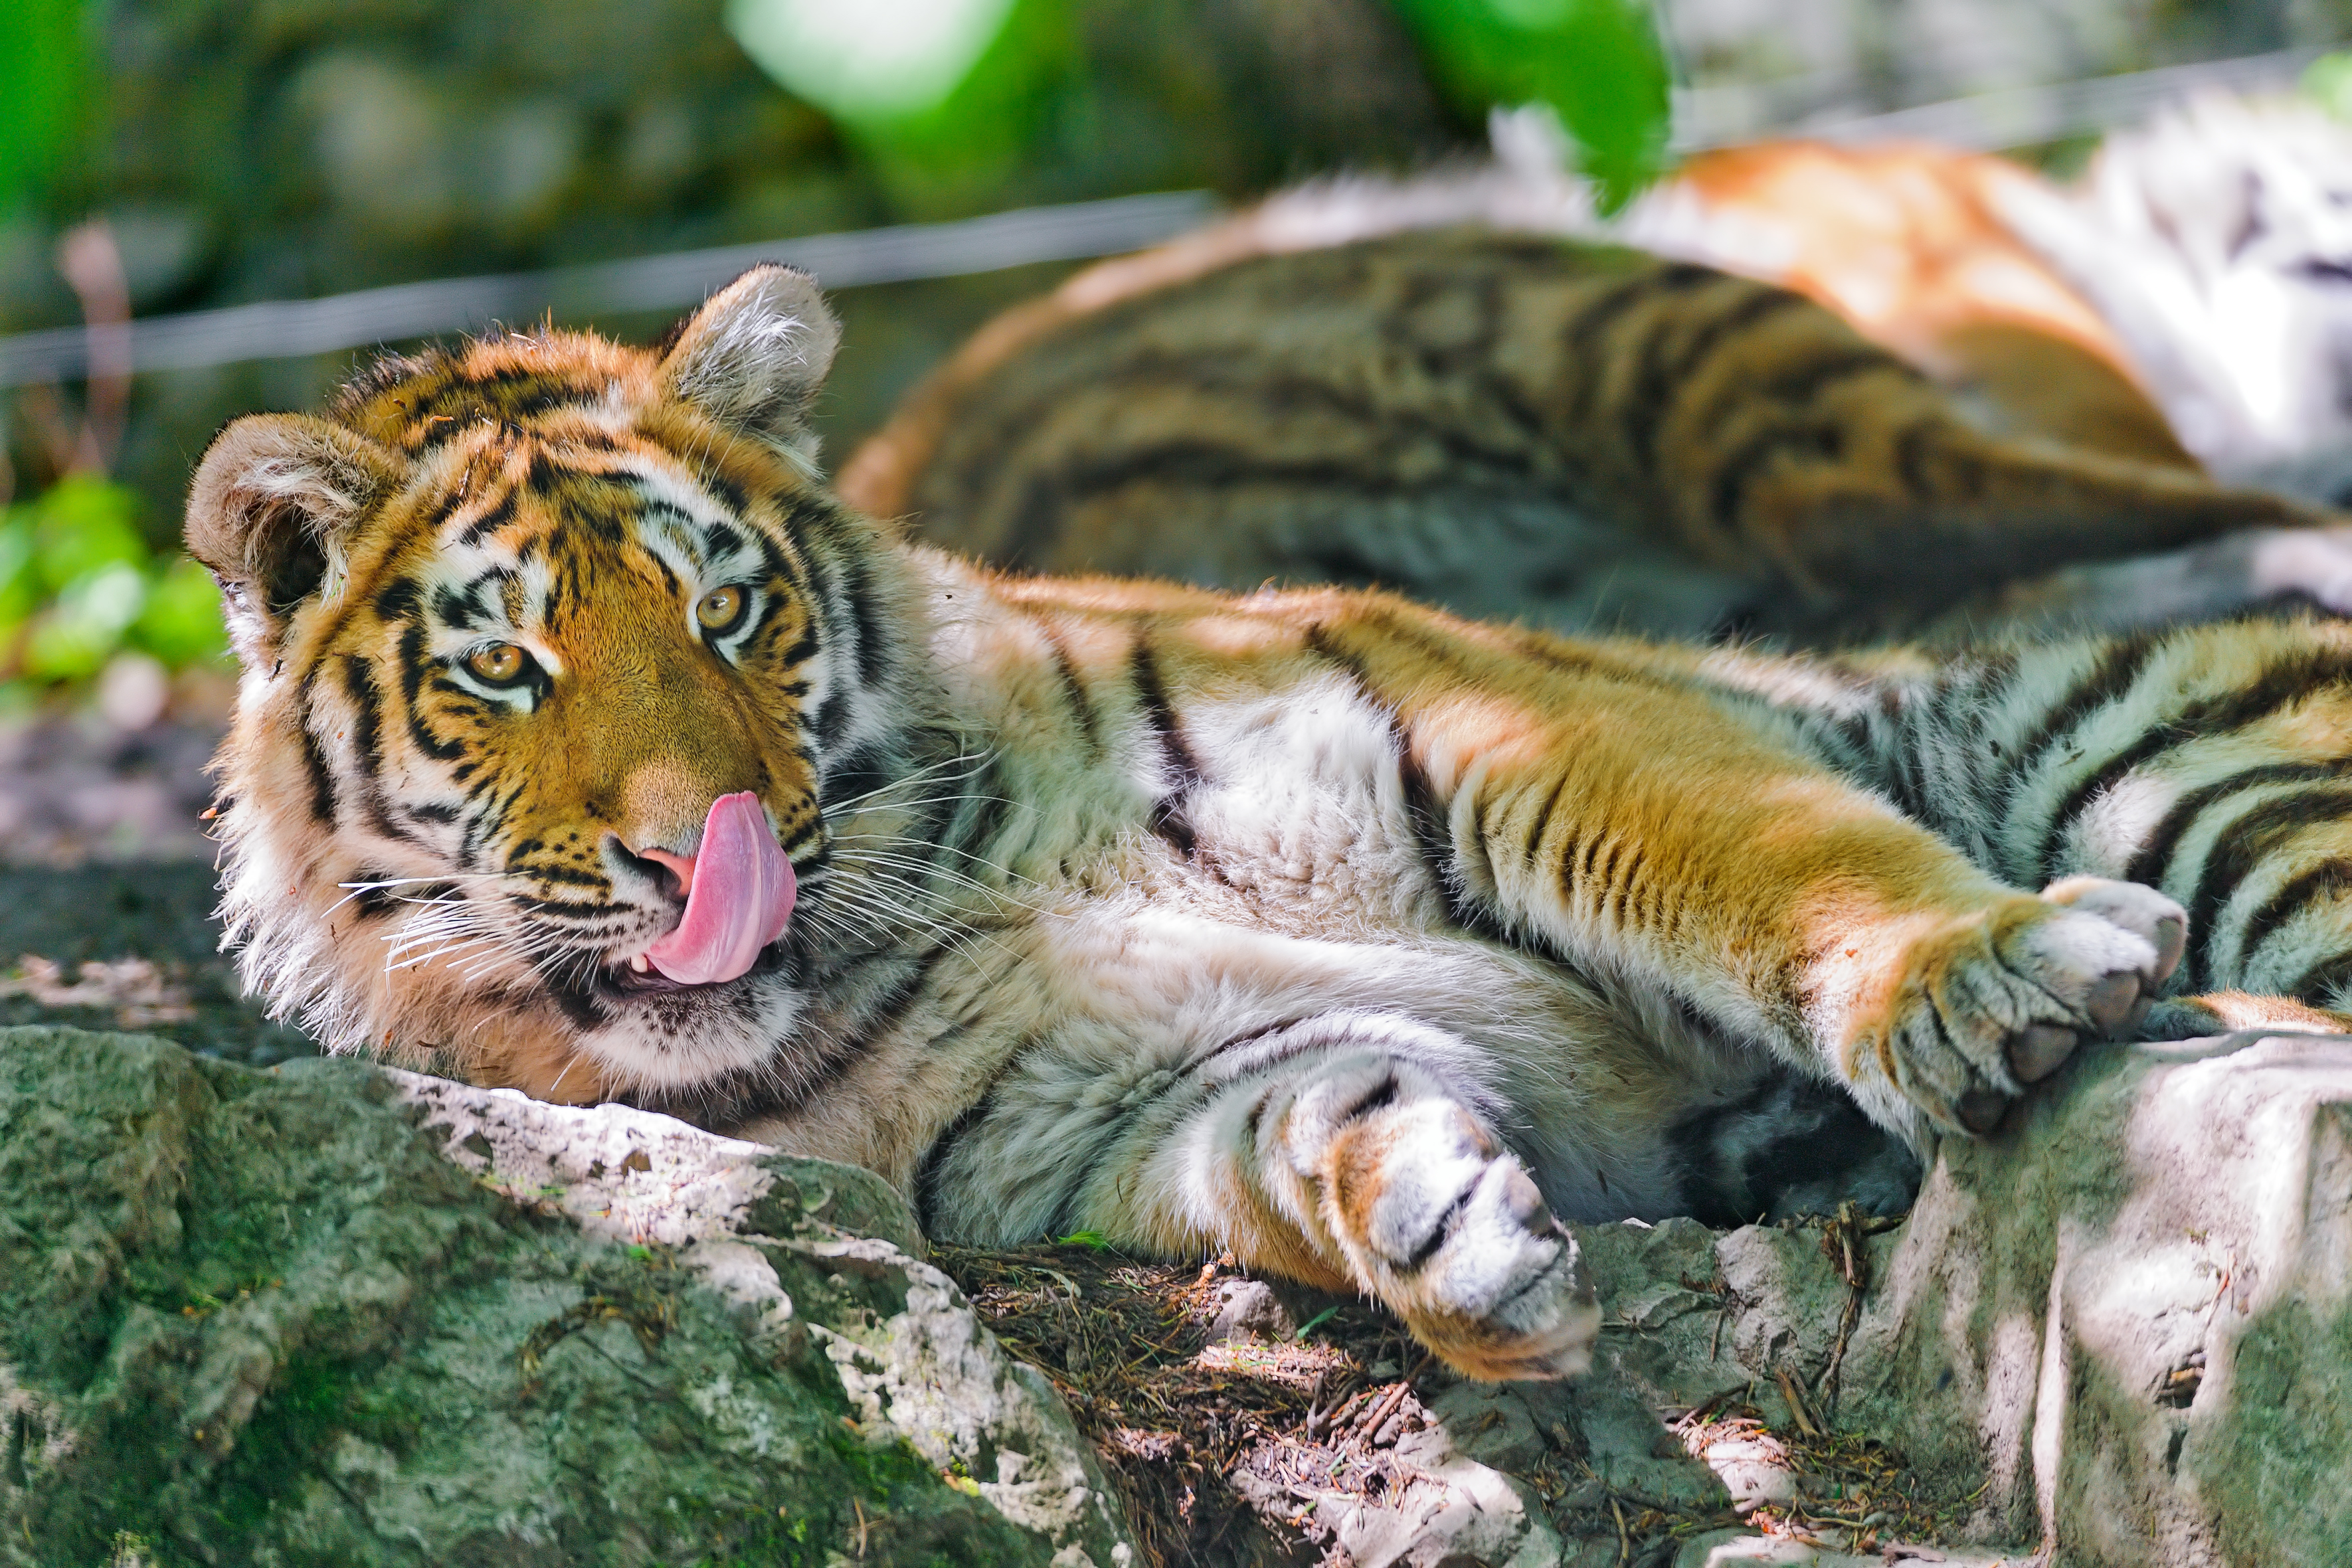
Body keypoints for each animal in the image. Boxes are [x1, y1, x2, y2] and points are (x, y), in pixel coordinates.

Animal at [183, 263, 2352, 1382]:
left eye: (727, 612)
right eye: (506, 664)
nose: (698, 850)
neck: (932, 895)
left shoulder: (1501, 729)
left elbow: (1772, 862)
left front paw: (1977, 970)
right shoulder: (1106, 1108)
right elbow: (1311, 1120)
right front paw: (1447, 1235)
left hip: (2163, 751)